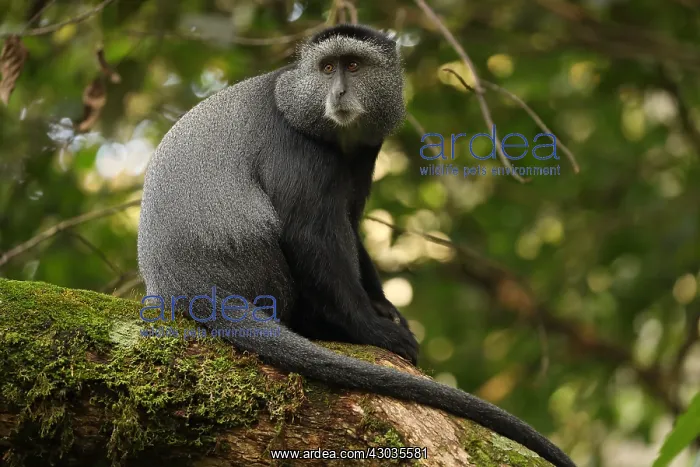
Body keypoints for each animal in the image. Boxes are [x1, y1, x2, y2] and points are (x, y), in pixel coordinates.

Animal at [137, 24, 576, 467]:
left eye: (353, 66)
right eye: (328, 68)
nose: (339, 92)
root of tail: (188, 291)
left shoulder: (367, 149)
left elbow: (349, 221)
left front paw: (384, 307)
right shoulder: (295, 147)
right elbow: (309, 233)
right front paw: (372, 329)